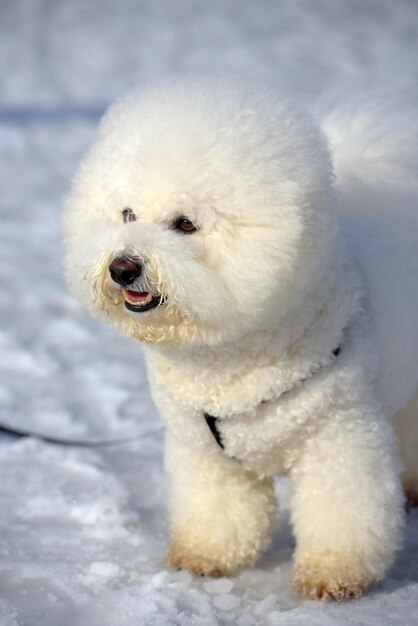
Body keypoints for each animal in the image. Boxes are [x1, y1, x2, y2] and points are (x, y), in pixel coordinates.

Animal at [62, 75, 418, 596]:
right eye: (127, 214)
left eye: (184, 224)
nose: (122, 268)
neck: (229, 354)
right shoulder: (205, 453)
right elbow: (218, 512)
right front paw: (205, 556)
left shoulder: (339, 436)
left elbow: (343, 512)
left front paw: (334, 574)